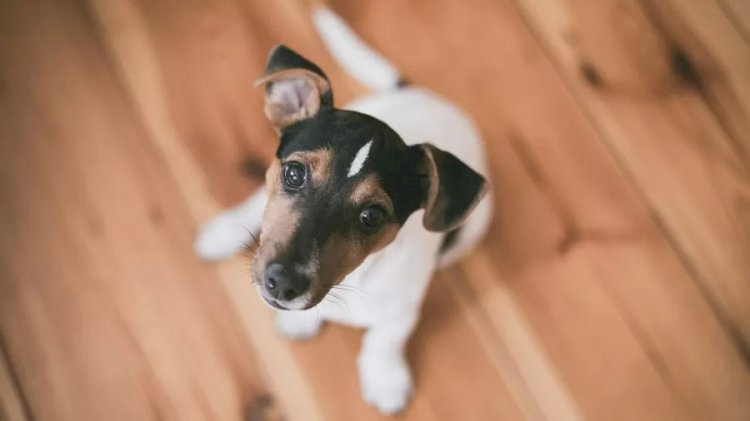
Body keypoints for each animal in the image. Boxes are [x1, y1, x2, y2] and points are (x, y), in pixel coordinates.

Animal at [197, 6, 496, 414]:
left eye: (372, 216)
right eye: (294, 173)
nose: (284, 284)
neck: (353, 279)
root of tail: (421, 94)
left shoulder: (401, 309)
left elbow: (384, 340)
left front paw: (384, 378)